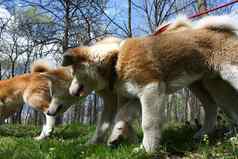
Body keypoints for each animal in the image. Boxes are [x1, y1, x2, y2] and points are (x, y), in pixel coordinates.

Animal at [61, 15, 238, 153]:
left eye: (74, 73)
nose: (70, 92)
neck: (116, 61)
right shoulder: (136, 96)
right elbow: (122, 115)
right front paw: (115, 135)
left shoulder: (151, 89)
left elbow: (148, 123)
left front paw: (146, 149)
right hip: (206, 86)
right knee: (216, 107)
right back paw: (215, 135)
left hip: (230, 74)